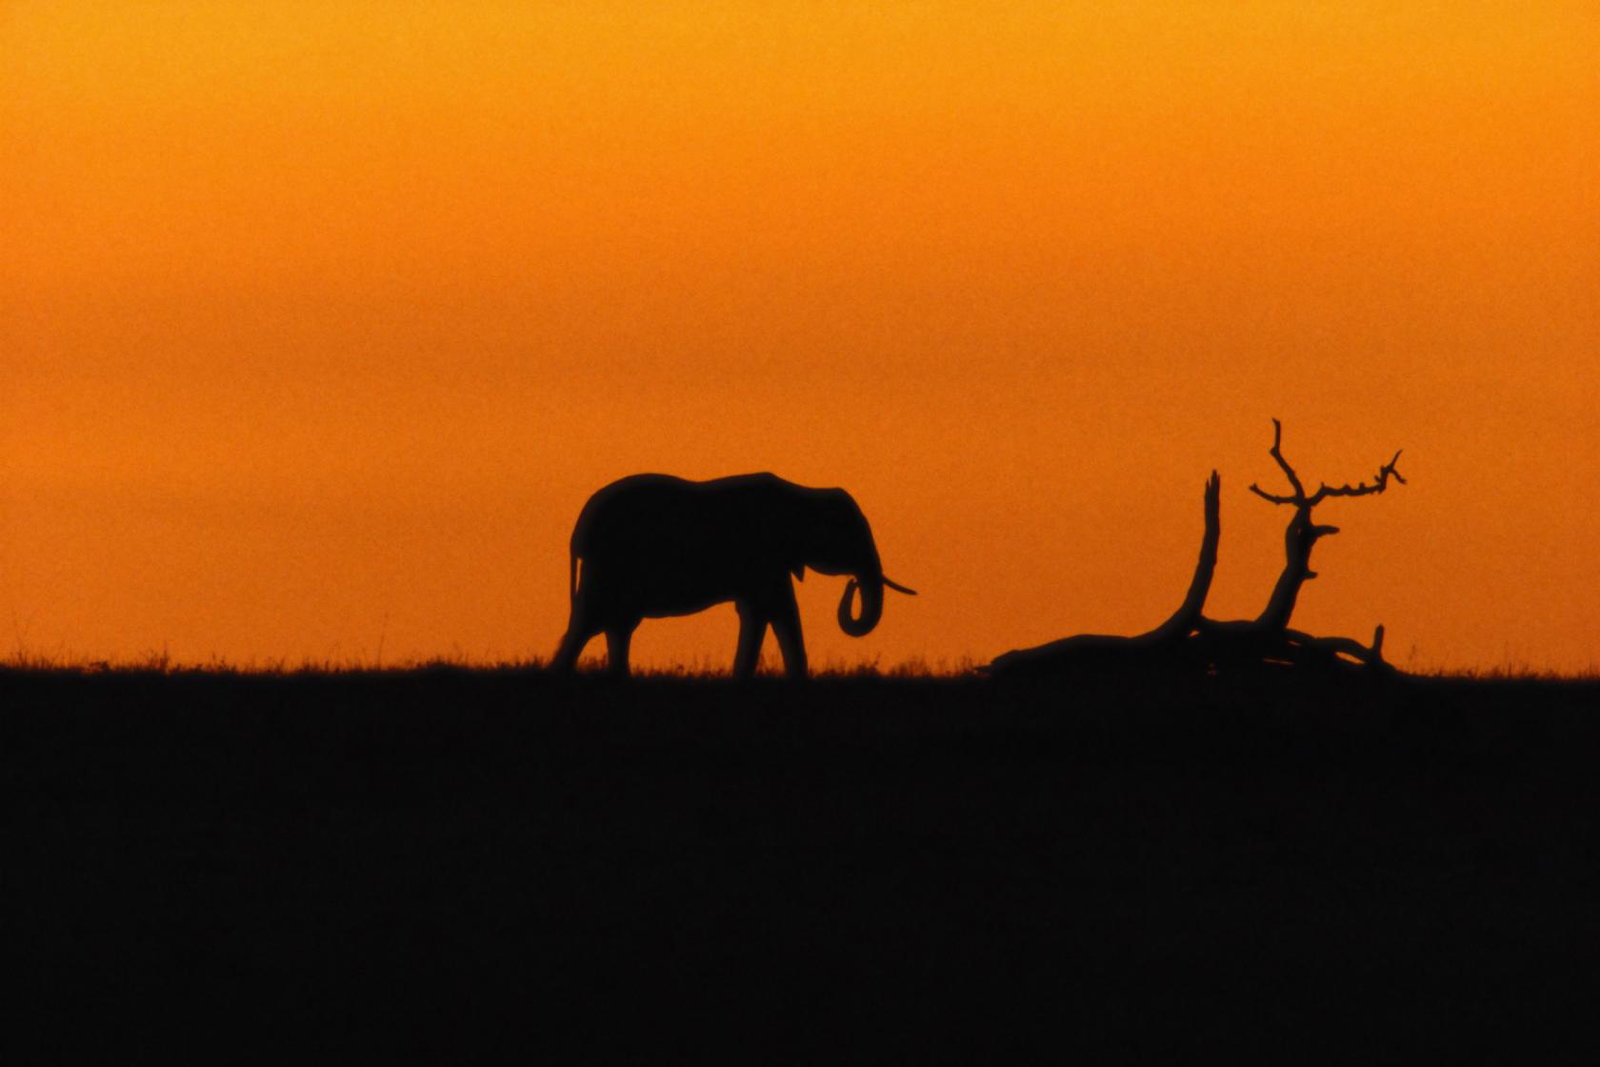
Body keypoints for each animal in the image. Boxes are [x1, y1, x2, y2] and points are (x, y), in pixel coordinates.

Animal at [550, 473, 915, 678]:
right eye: (851, 537)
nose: (852, 583)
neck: (804, 493)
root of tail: (578, 532)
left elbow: (766, 611)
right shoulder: (764, 555)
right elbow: (775, 609)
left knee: (616, 624)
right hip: (611, 565)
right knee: (593, 621)